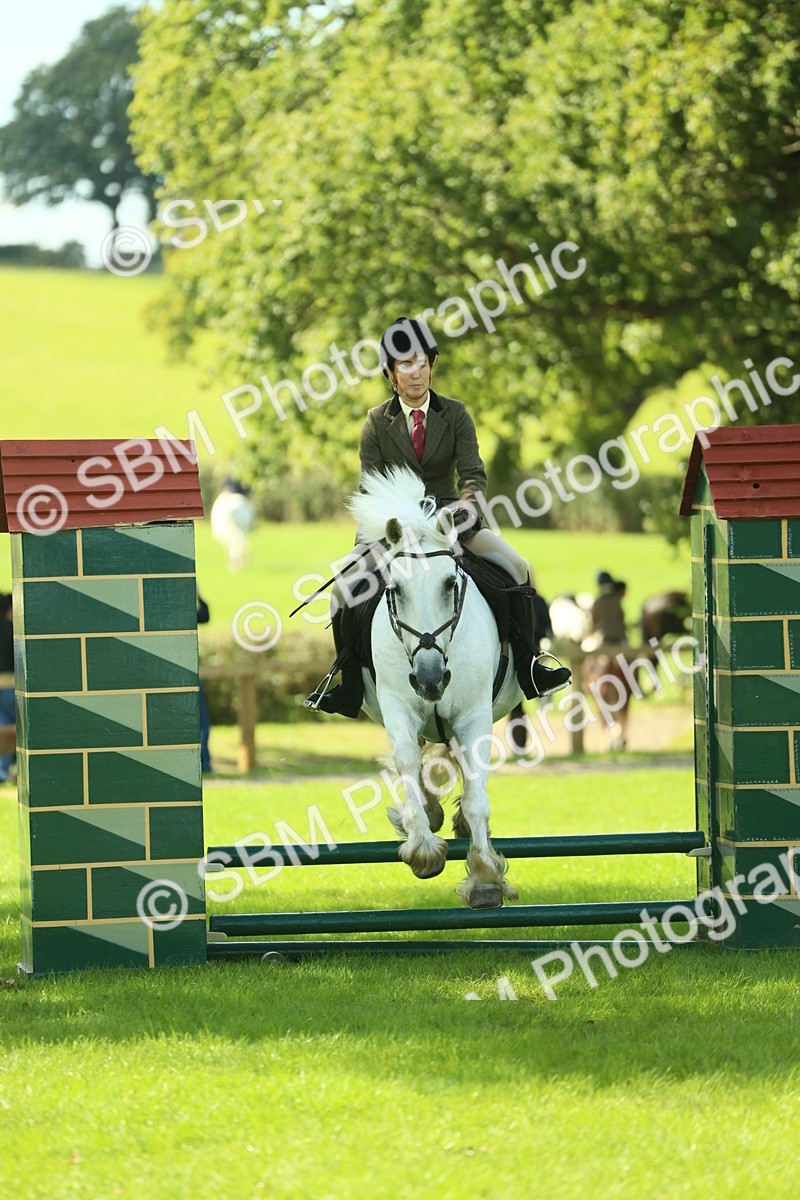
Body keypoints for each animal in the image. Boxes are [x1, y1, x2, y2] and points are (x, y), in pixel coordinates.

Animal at [346, 466, 524, 909]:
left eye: (449, 584)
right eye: (394, 590)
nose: (430, 679)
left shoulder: (474, 714)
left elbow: (477, 794)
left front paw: (484, 878)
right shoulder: (398, 707)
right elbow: (408, 759)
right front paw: (423, 847)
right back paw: (431, 814)